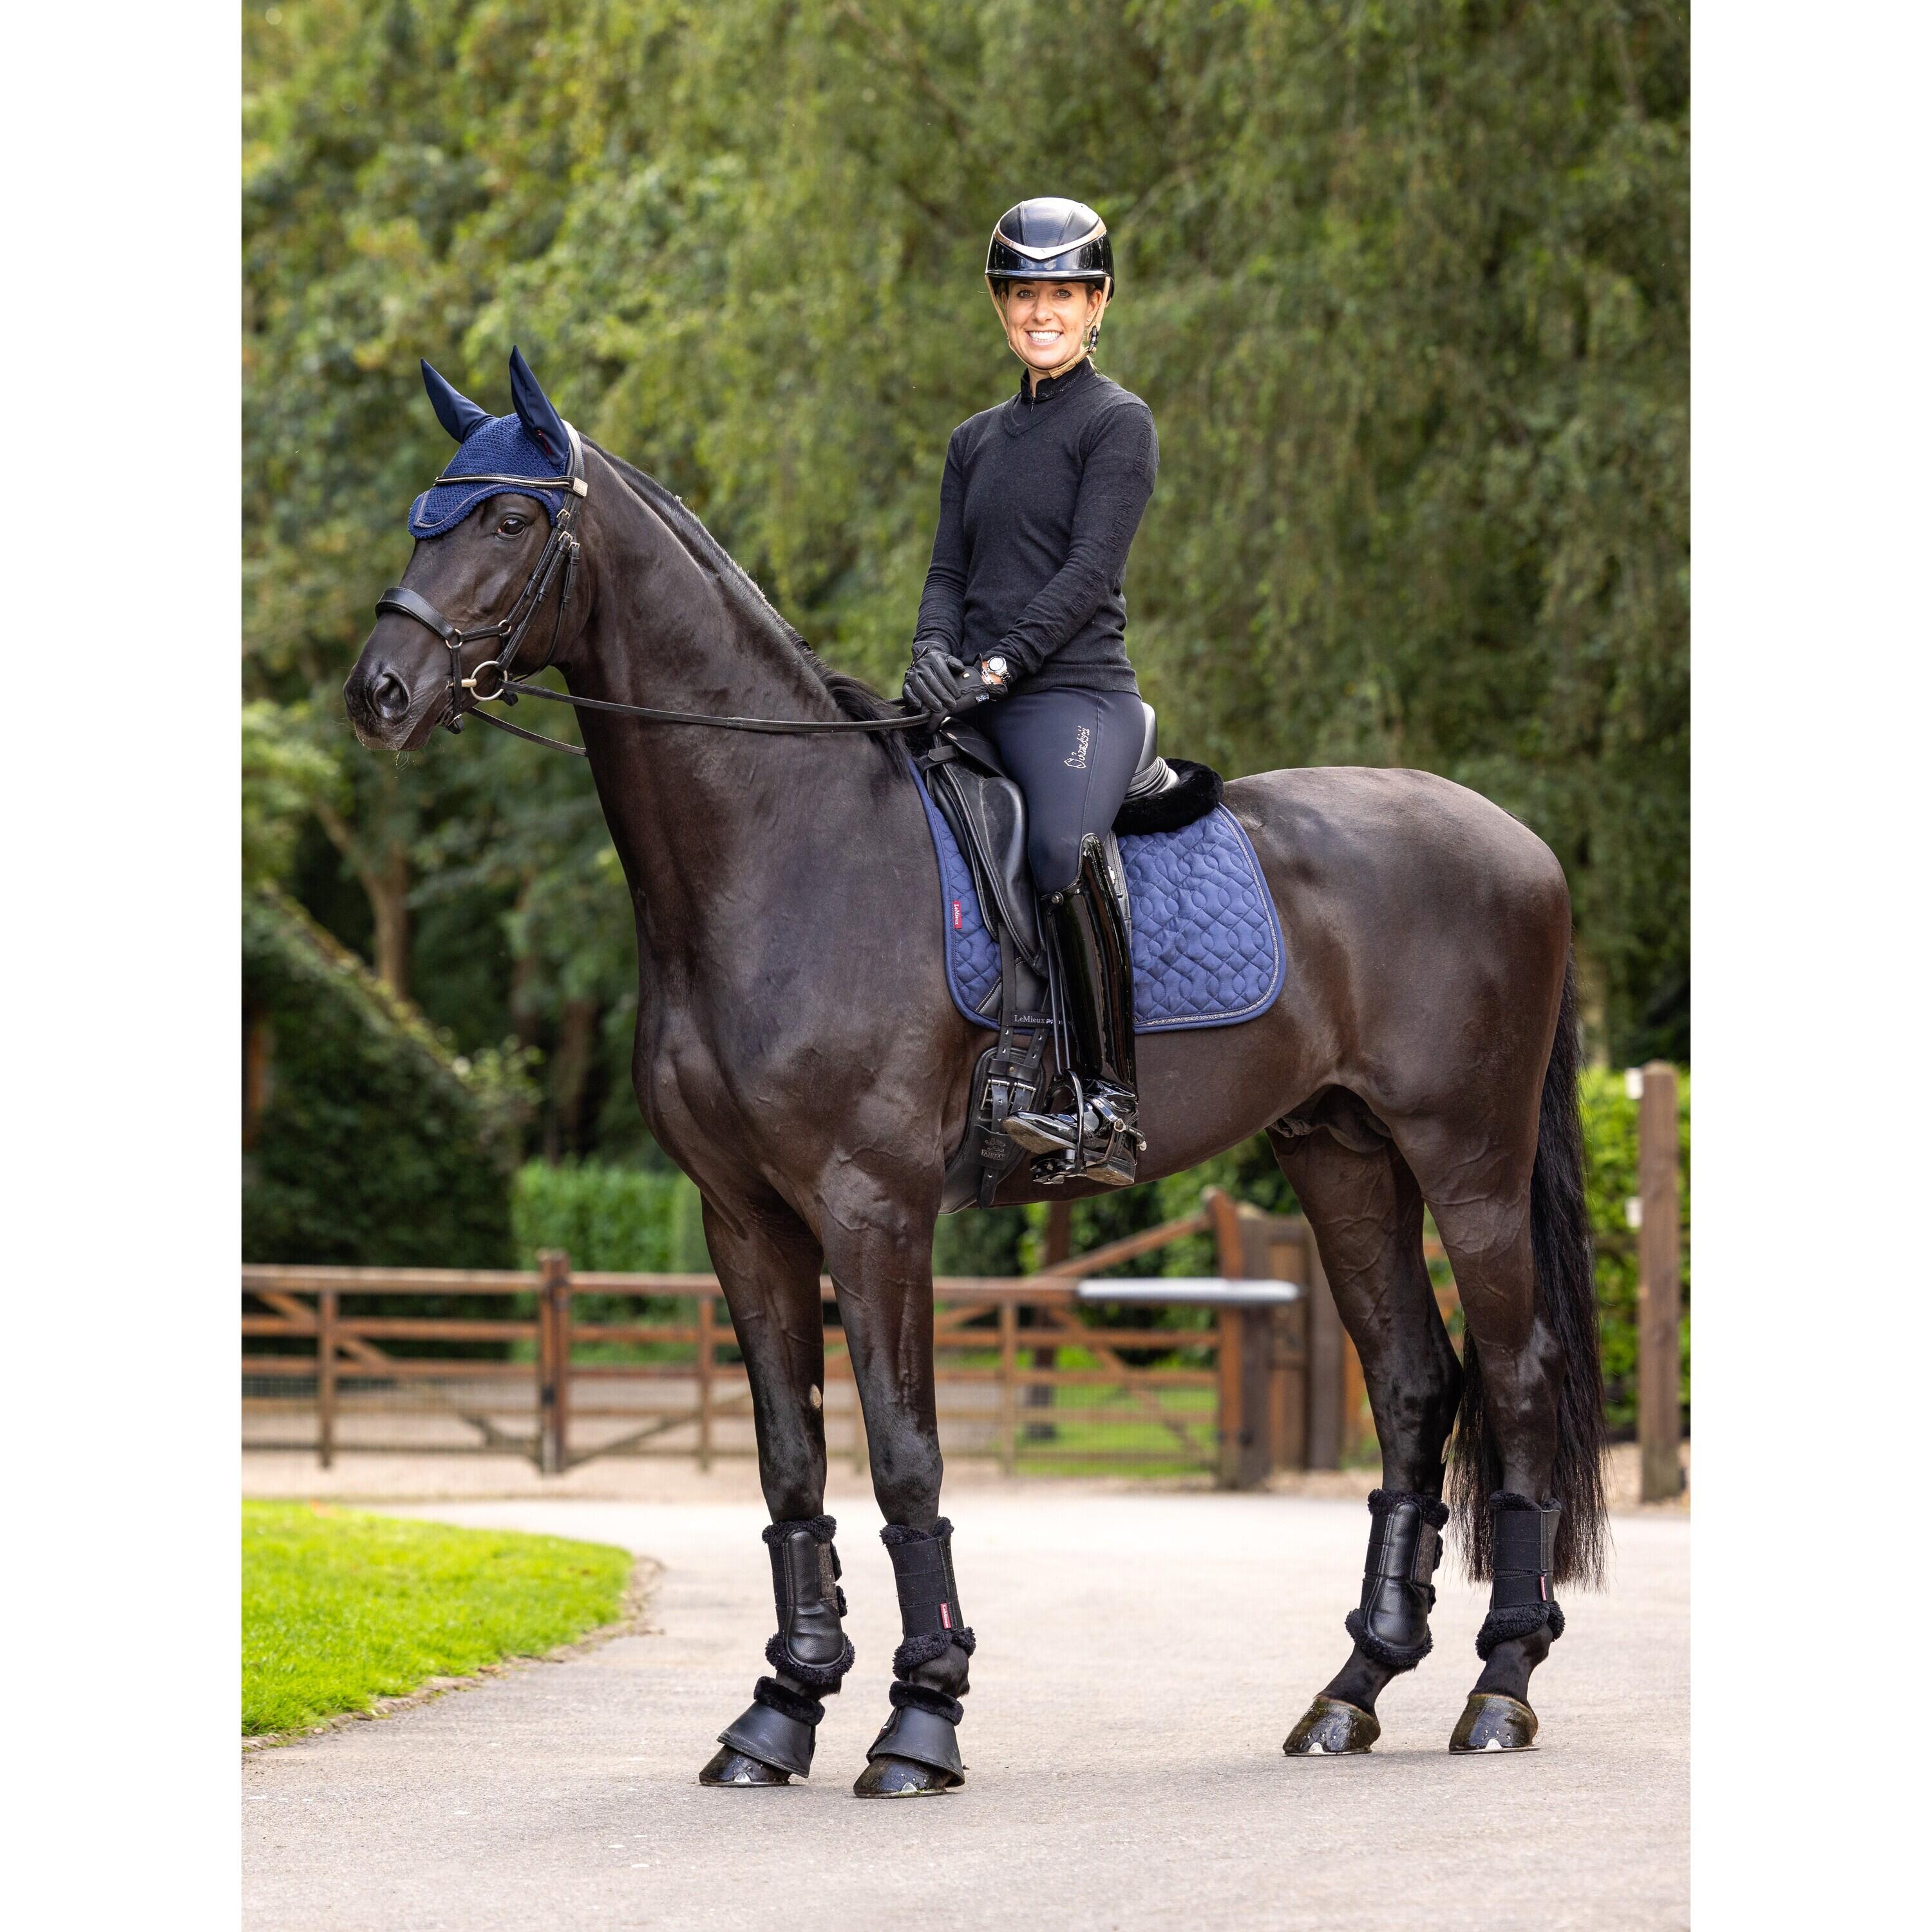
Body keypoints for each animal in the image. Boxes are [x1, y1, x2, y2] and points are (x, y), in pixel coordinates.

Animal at [344, 351, 1606, 1794]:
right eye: (424, 513)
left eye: (508, 519)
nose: (378, 692)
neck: (783, 850)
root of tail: (1521, 842)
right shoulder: (745, 1221)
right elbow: (791, 1466)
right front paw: (781, 1710)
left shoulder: (873, 1208)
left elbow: (903, 1460)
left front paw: (920, 1717)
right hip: (1342, 1156)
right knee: (1413, 1390)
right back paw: (1352, 1693)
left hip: (1469, 1161)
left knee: (1516, 1383)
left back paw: (1501, 1686)